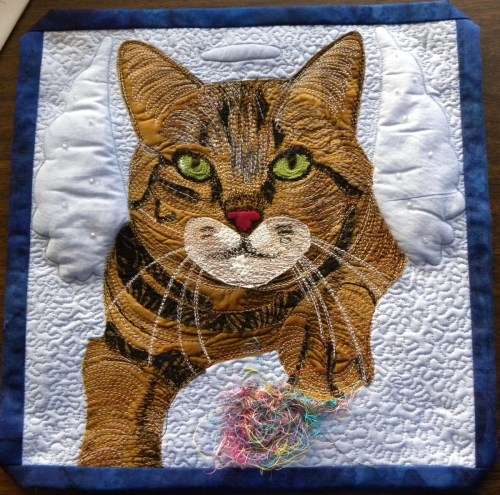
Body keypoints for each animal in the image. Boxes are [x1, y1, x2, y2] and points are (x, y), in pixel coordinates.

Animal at [79, 32, 406, 467]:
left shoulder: (382, 244)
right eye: (192, 165)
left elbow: (342, 280)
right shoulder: (122, 350)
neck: (242, 312)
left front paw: (325, 350)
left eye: (293, 163)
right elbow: (116, 420)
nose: (244, 217)